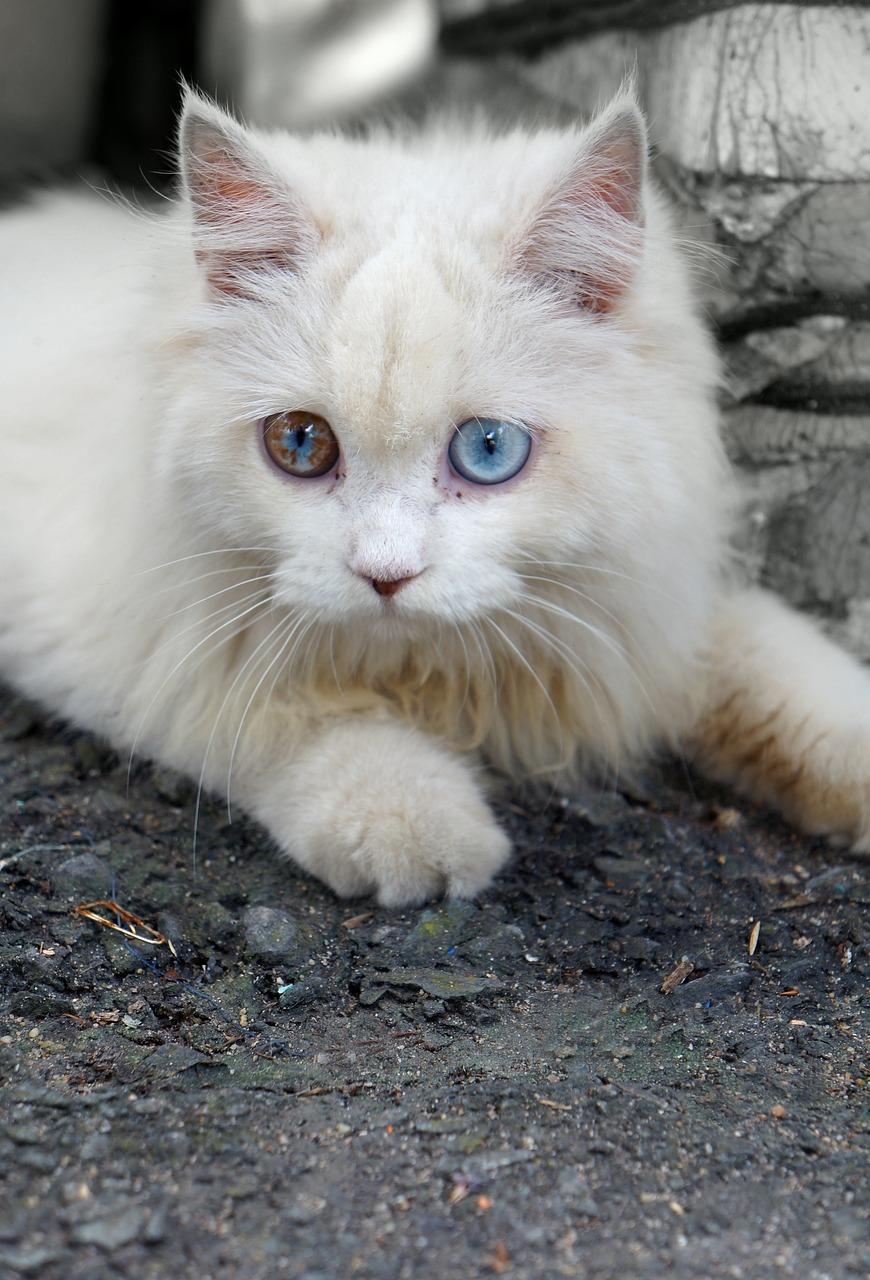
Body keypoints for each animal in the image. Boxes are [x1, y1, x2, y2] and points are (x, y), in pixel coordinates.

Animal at [1, 87, 870, 901]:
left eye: (488, 449)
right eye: (301, 444)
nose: (386, 576)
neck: (444, 674)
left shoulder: (657, 612)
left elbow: (784, 672)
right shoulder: (135, 638)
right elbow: (308, 715)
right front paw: (420, 833)